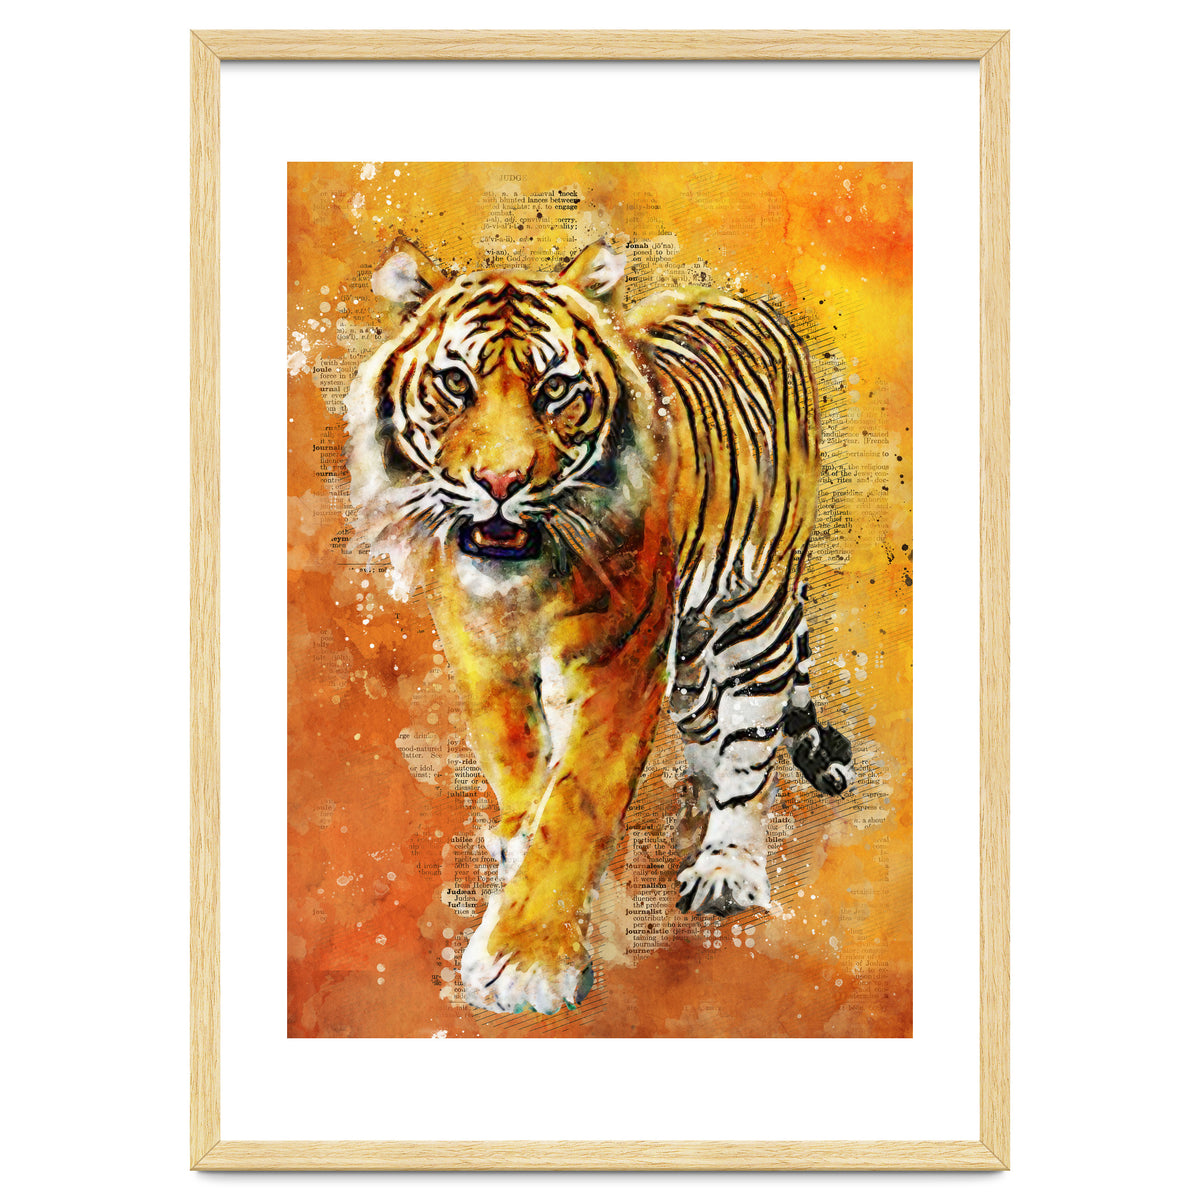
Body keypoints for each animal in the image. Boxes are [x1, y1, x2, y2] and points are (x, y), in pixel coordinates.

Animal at [342, 234, 854, 1015]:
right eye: (455, 383)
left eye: (555, 389)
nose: (500, 483)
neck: (523, 585)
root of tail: (743, 297)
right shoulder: (480, 648)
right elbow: (517, 758)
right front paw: (517, 839)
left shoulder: (618, 663)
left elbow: (577, 803)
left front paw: (526, 960)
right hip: (693, 646)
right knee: (706, 722)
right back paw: (696, 801)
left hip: (755, 608)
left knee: (752, 741)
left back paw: (727, 864)